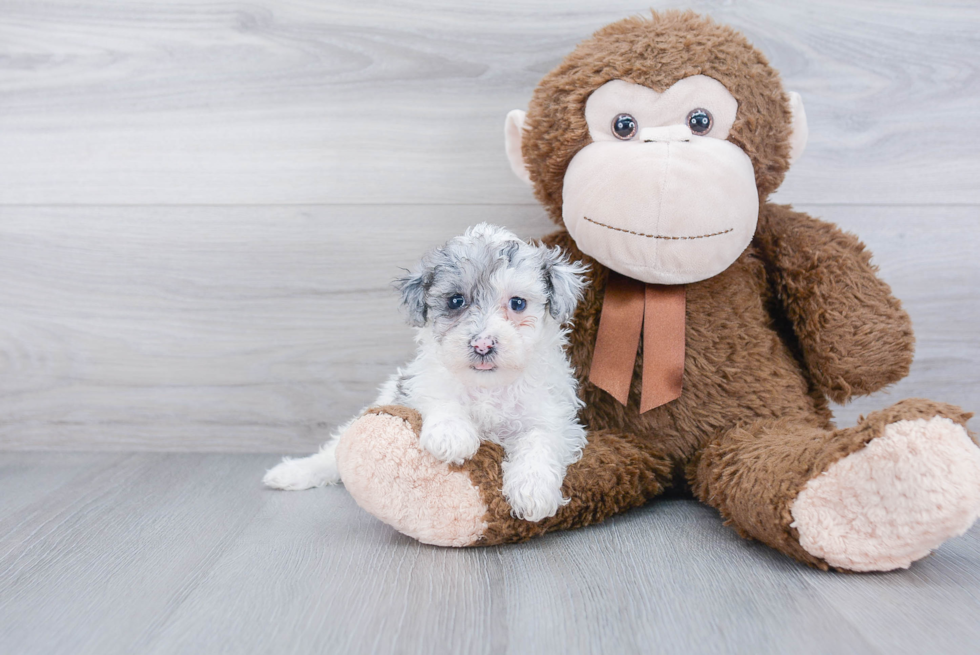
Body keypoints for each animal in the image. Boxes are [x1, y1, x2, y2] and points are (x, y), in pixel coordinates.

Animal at [264, 224, 588, 524]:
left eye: (517, 303)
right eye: (456, 300)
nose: (482, 344)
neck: (488, 386)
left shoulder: (552, 415)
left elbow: (541, 441)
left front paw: (533, 492)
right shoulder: (417, 385)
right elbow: (441, 398)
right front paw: (452, 434)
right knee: (331, 452)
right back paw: (292, 472)